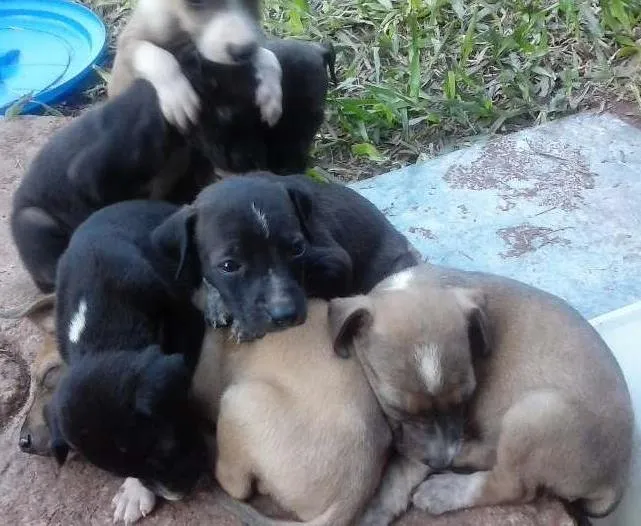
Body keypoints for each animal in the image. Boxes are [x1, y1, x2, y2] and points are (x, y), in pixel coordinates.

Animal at [108, 0, 282, 132]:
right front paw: (178, 96)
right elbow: (159, 57)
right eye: (195, 1)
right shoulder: (128, 43)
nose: (243, 51)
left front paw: (270, 92)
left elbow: (270, 58)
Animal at [151, 172, 420, 342]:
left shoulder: (336, 262)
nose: (285, 316)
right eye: (228, 265)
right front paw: (217, 303)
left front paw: (244, 326)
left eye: (297, 249)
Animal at [330, 266, 636, 524]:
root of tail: (615, 481)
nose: (441, 462)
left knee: (513, 486)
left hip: (535, 413)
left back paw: (446, 488)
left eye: (466, 398)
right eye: (398, 408)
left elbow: (405, 465)